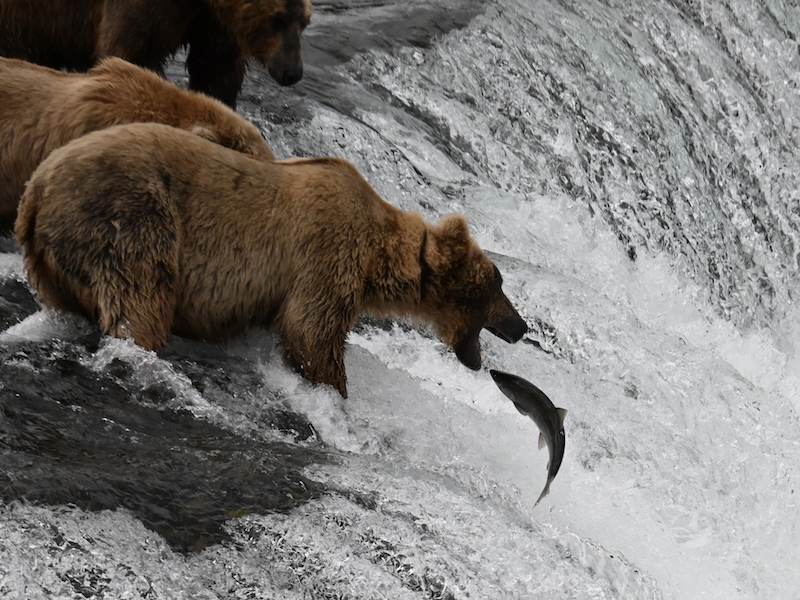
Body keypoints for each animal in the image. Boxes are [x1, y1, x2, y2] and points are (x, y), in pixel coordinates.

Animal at [0, 0, 310, 107]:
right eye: (278, 20)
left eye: (304, 22)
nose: (292, 72)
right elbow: (131, 53)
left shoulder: (212, 20)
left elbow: (215, 71)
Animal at [15, 122, 528, 398]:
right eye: (498, 284)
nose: (522, 327)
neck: (377, 259)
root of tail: (36, 189)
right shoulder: (325, 253)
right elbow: (312, 334)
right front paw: (335, 392)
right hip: (130, 218)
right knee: (140, 301)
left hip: (55, 260)